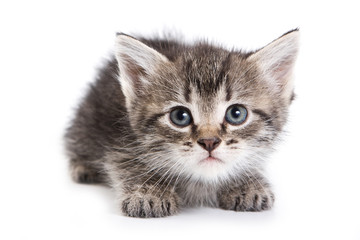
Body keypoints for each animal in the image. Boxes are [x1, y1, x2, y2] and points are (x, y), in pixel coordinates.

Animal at [64, 30, 298, 218]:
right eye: (180, 116)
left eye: (236, 114)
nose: (209, 142)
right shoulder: (118, 138)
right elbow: (125, 162)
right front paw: (149, 192)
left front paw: (247, 182)